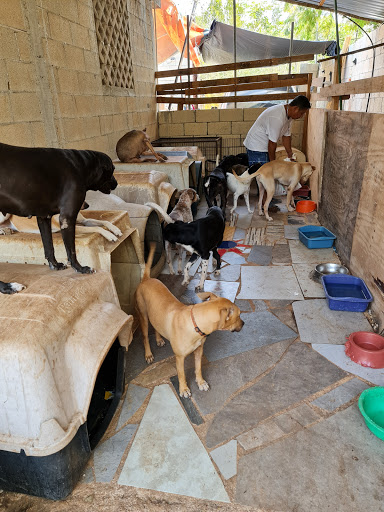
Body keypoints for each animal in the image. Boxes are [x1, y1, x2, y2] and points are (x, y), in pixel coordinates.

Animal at [135, 243, 243, 396]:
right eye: (239, 315)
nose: (244, 323)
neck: (195, 324)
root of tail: (146, 279)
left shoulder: (198, 352)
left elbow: (198, 368)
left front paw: (201, 382)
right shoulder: (179, 358)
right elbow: (181, 374)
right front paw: (184, 389)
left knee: (156, 326)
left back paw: (159, 339)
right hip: (143, 315)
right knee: (145, 337)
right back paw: (148, 354)